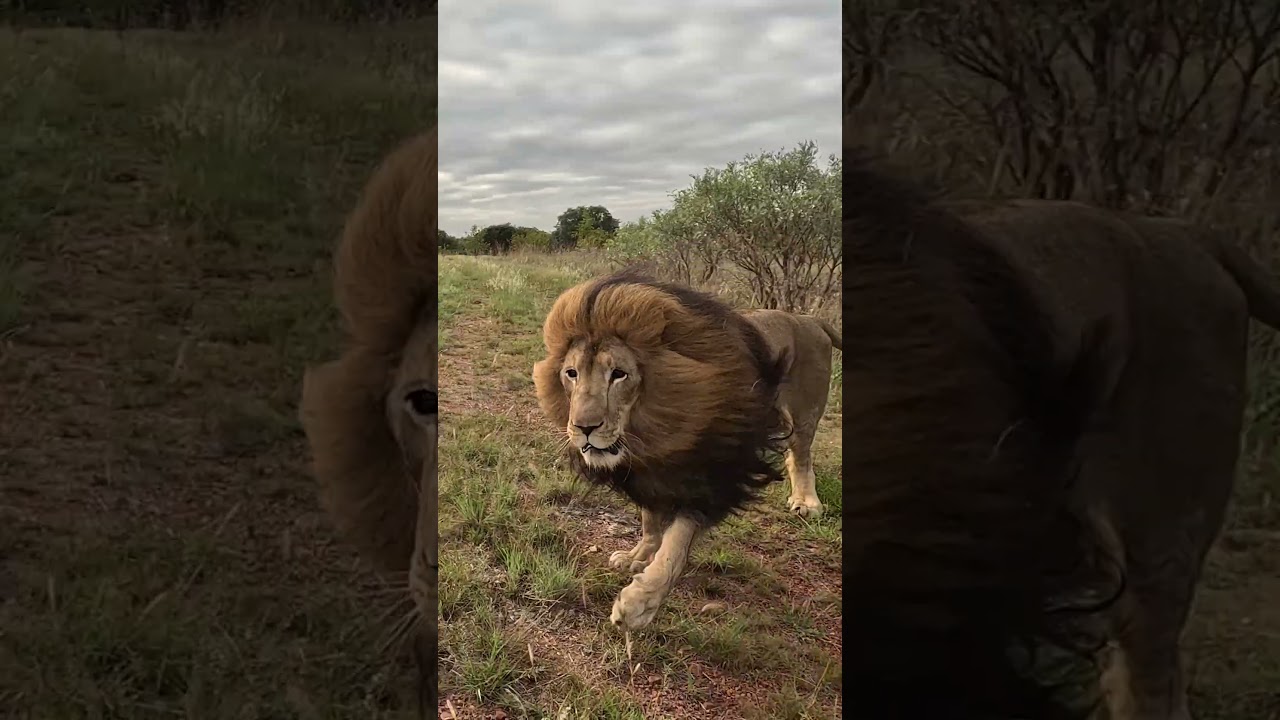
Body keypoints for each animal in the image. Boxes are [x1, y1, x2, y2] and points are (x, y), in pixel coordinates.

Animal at [532, 272, 841, 630]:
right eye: (572, 374)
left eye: (619, 374)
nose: (584, 428)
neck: (651, 432)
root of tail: (809, 319)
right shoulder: (649, 472)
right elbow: (651, 520)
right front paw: (639, 556)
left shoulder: (713, 478)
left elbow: (676, 545)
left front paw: (639, 603)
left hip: (805, 413)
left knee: (801, 456)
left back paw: (807, 502)